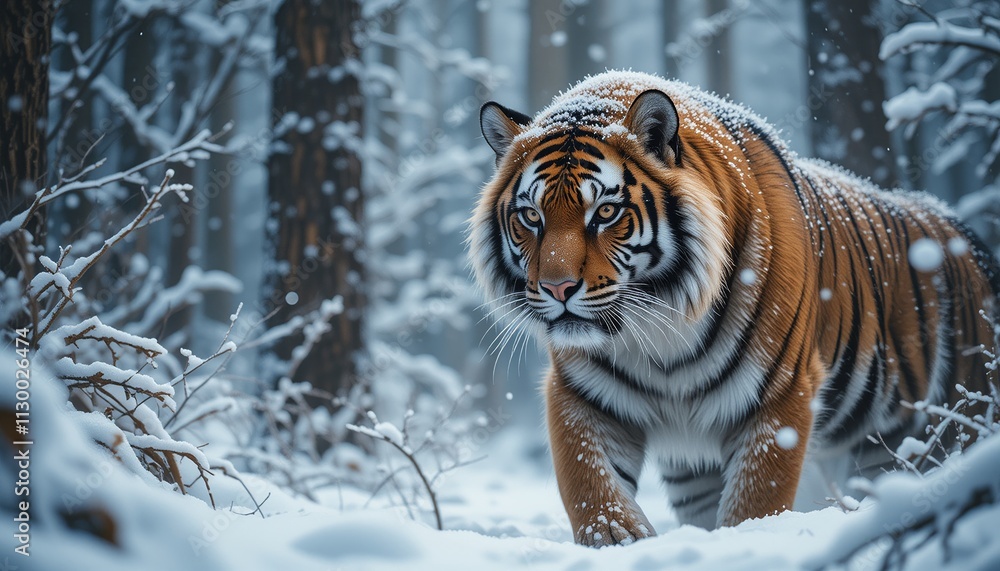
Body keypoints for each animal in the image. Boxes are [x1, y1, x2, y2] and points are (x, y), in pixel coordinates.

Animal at [468, 70, 1000, 547]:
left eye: (605, 212)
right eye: (531, 216)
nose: (557, 287)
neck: (661, 329)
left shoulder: (780, 393)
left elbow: (757, 498)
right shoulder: (582, 395)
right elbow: (589, 480)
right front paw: (617, 539)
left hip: (952, 426)